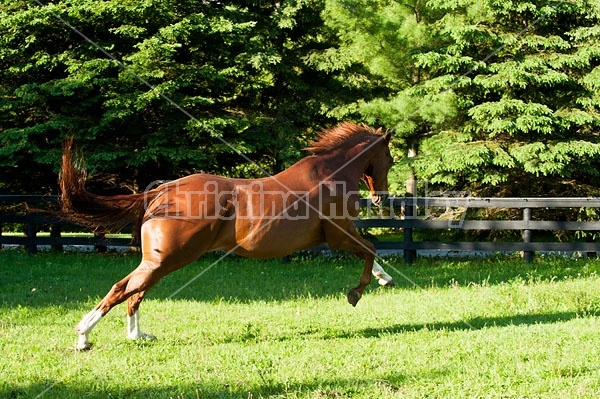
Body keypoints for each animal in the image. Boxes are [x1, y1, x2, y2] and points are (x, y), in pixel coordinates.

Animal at [62, 122, 394, 350]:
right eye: (390, 160)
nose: (382, 198)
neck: (330, 175)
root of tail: (162, 191)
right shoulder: (338, 234)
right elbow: (370, 249)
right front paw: (356, 293)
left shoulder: (341, 234)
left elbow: (370, 251)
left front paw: (384, 278)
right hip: (167, 259)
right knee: (123, 289)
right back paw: (83, 337)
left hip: (159, 262)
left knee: (134, 293)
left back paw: (136, 335)